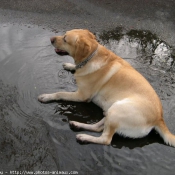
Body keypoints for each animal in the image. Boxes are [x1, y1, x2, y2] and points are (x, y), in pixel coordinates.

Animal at [38, 29, 175, 146]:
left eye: (65, 39)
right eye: (64, 34)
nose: (51, 39)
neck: (91, 57)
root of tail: (159, 118)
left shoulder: (82, 95)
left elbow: (60, 93)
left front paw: (47, 96)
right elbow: (74, 68)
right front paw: (70, 65)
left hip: (118, 110)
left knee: (106, 139)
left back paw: (84, 137)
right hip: (111, 110)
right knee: (98, 127)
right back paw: (77, 125)